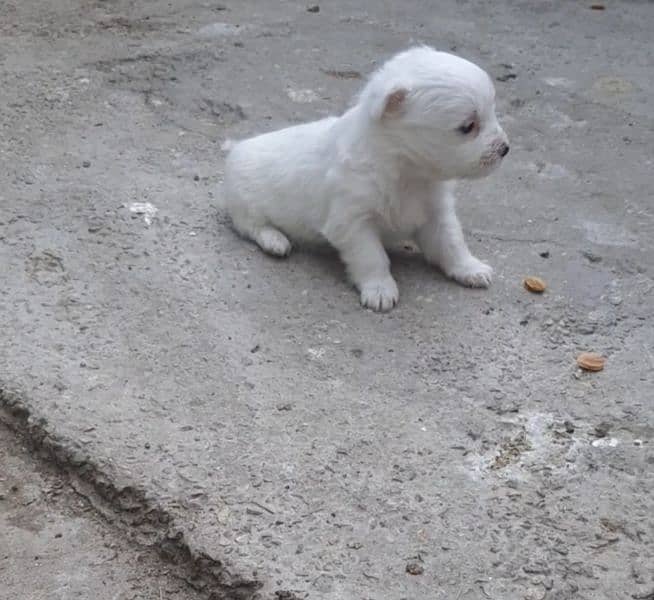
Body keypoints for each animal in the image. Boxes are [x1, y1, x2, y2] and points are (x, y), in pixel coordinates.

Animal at [226, 44, 512, 312]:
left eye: (492, 111)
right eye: (468, 127)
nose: (505, 149)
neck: (407, 171)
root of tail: (237, 148)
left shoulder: (436, 213)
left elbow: (452, 243)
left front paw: (469, 268)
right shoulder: (353, 222)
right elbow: (372, 257)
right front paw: (380, 289)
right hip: (244, 204)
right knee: (252, 226)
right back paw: (275, 240)